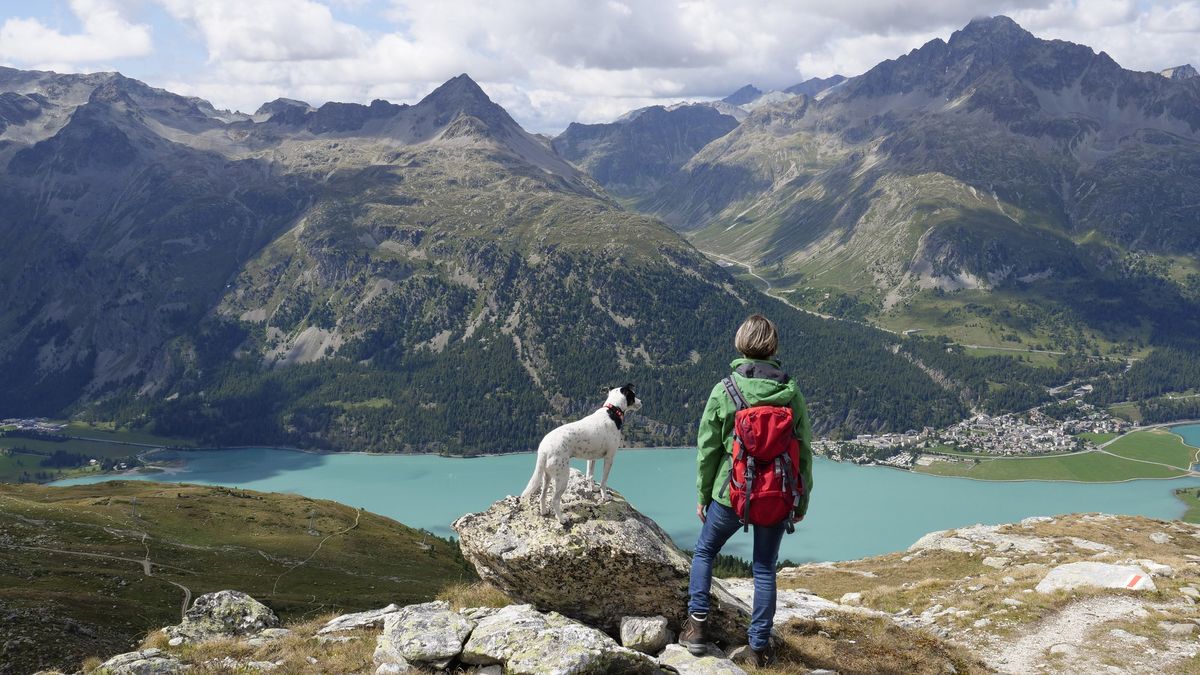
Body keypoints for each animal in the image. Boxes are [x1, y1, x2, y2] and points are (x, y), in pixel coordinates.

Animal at [520, 384, 643, 521]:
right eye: (633, 395)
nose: (641, 402)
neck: (613, 411)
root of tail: (543, 448)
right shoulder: (609, 458)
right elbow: (604, 481)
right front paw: (605, 497)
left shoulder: (592, 458)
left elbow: (590, 475)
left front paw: (593, 489)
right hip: (563, 476)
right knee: (555, 500)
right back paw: (562, 519)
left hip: (546, 476)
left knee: (543, 495)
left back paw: (544, 512)